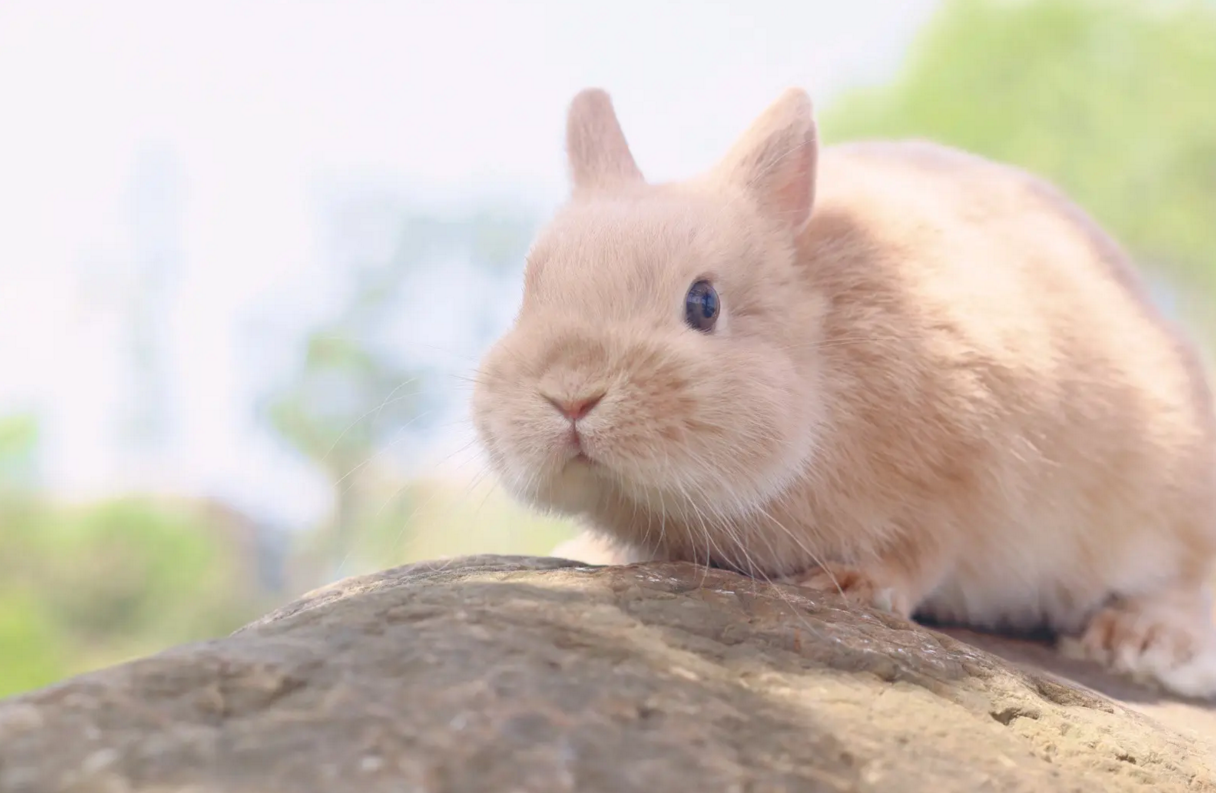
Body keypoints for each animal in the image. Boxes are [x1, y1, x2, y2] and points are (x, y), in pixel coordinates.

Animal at [466, 83, 1216, 695]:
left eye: (704, 303)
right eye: (532, 291)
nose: (571, 396)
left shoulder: (968, 472)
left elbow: (922, 548)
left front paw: (849, 584)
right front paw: (587, 552)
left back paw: (1138, 640)